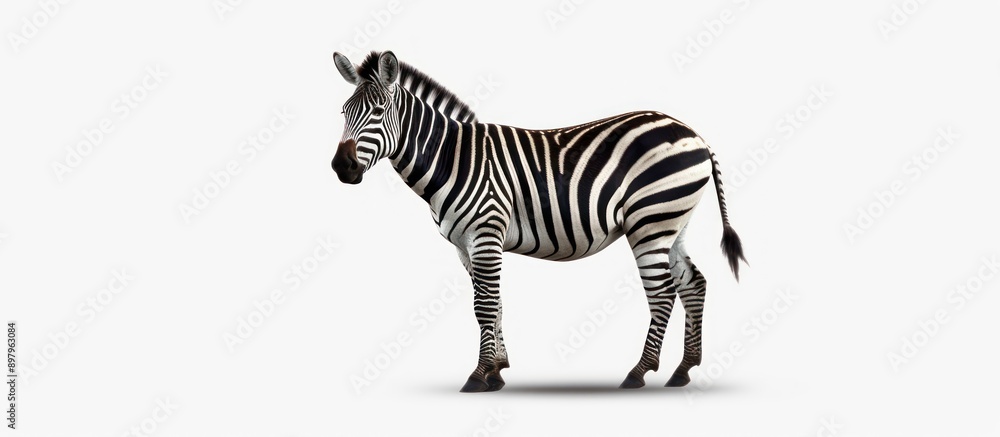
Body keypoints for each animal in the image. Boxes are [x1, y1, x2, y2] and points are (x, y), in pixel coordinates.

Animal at [331, 51, 747, 392]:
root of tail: (694, 133)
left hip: (651, 223)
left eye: (379, 111)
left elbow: (485, 305)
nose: (342, 167)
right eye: (343, 113)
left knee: (662, 294)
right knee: (694, 284)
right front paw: (497, 370)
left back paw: (639, 372)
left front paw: (478, 375)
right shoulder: (466, 245)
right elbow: (493, 303)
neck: (452, 158)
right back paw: (683, 369)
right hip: (673, 224)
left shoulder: (486, 232)